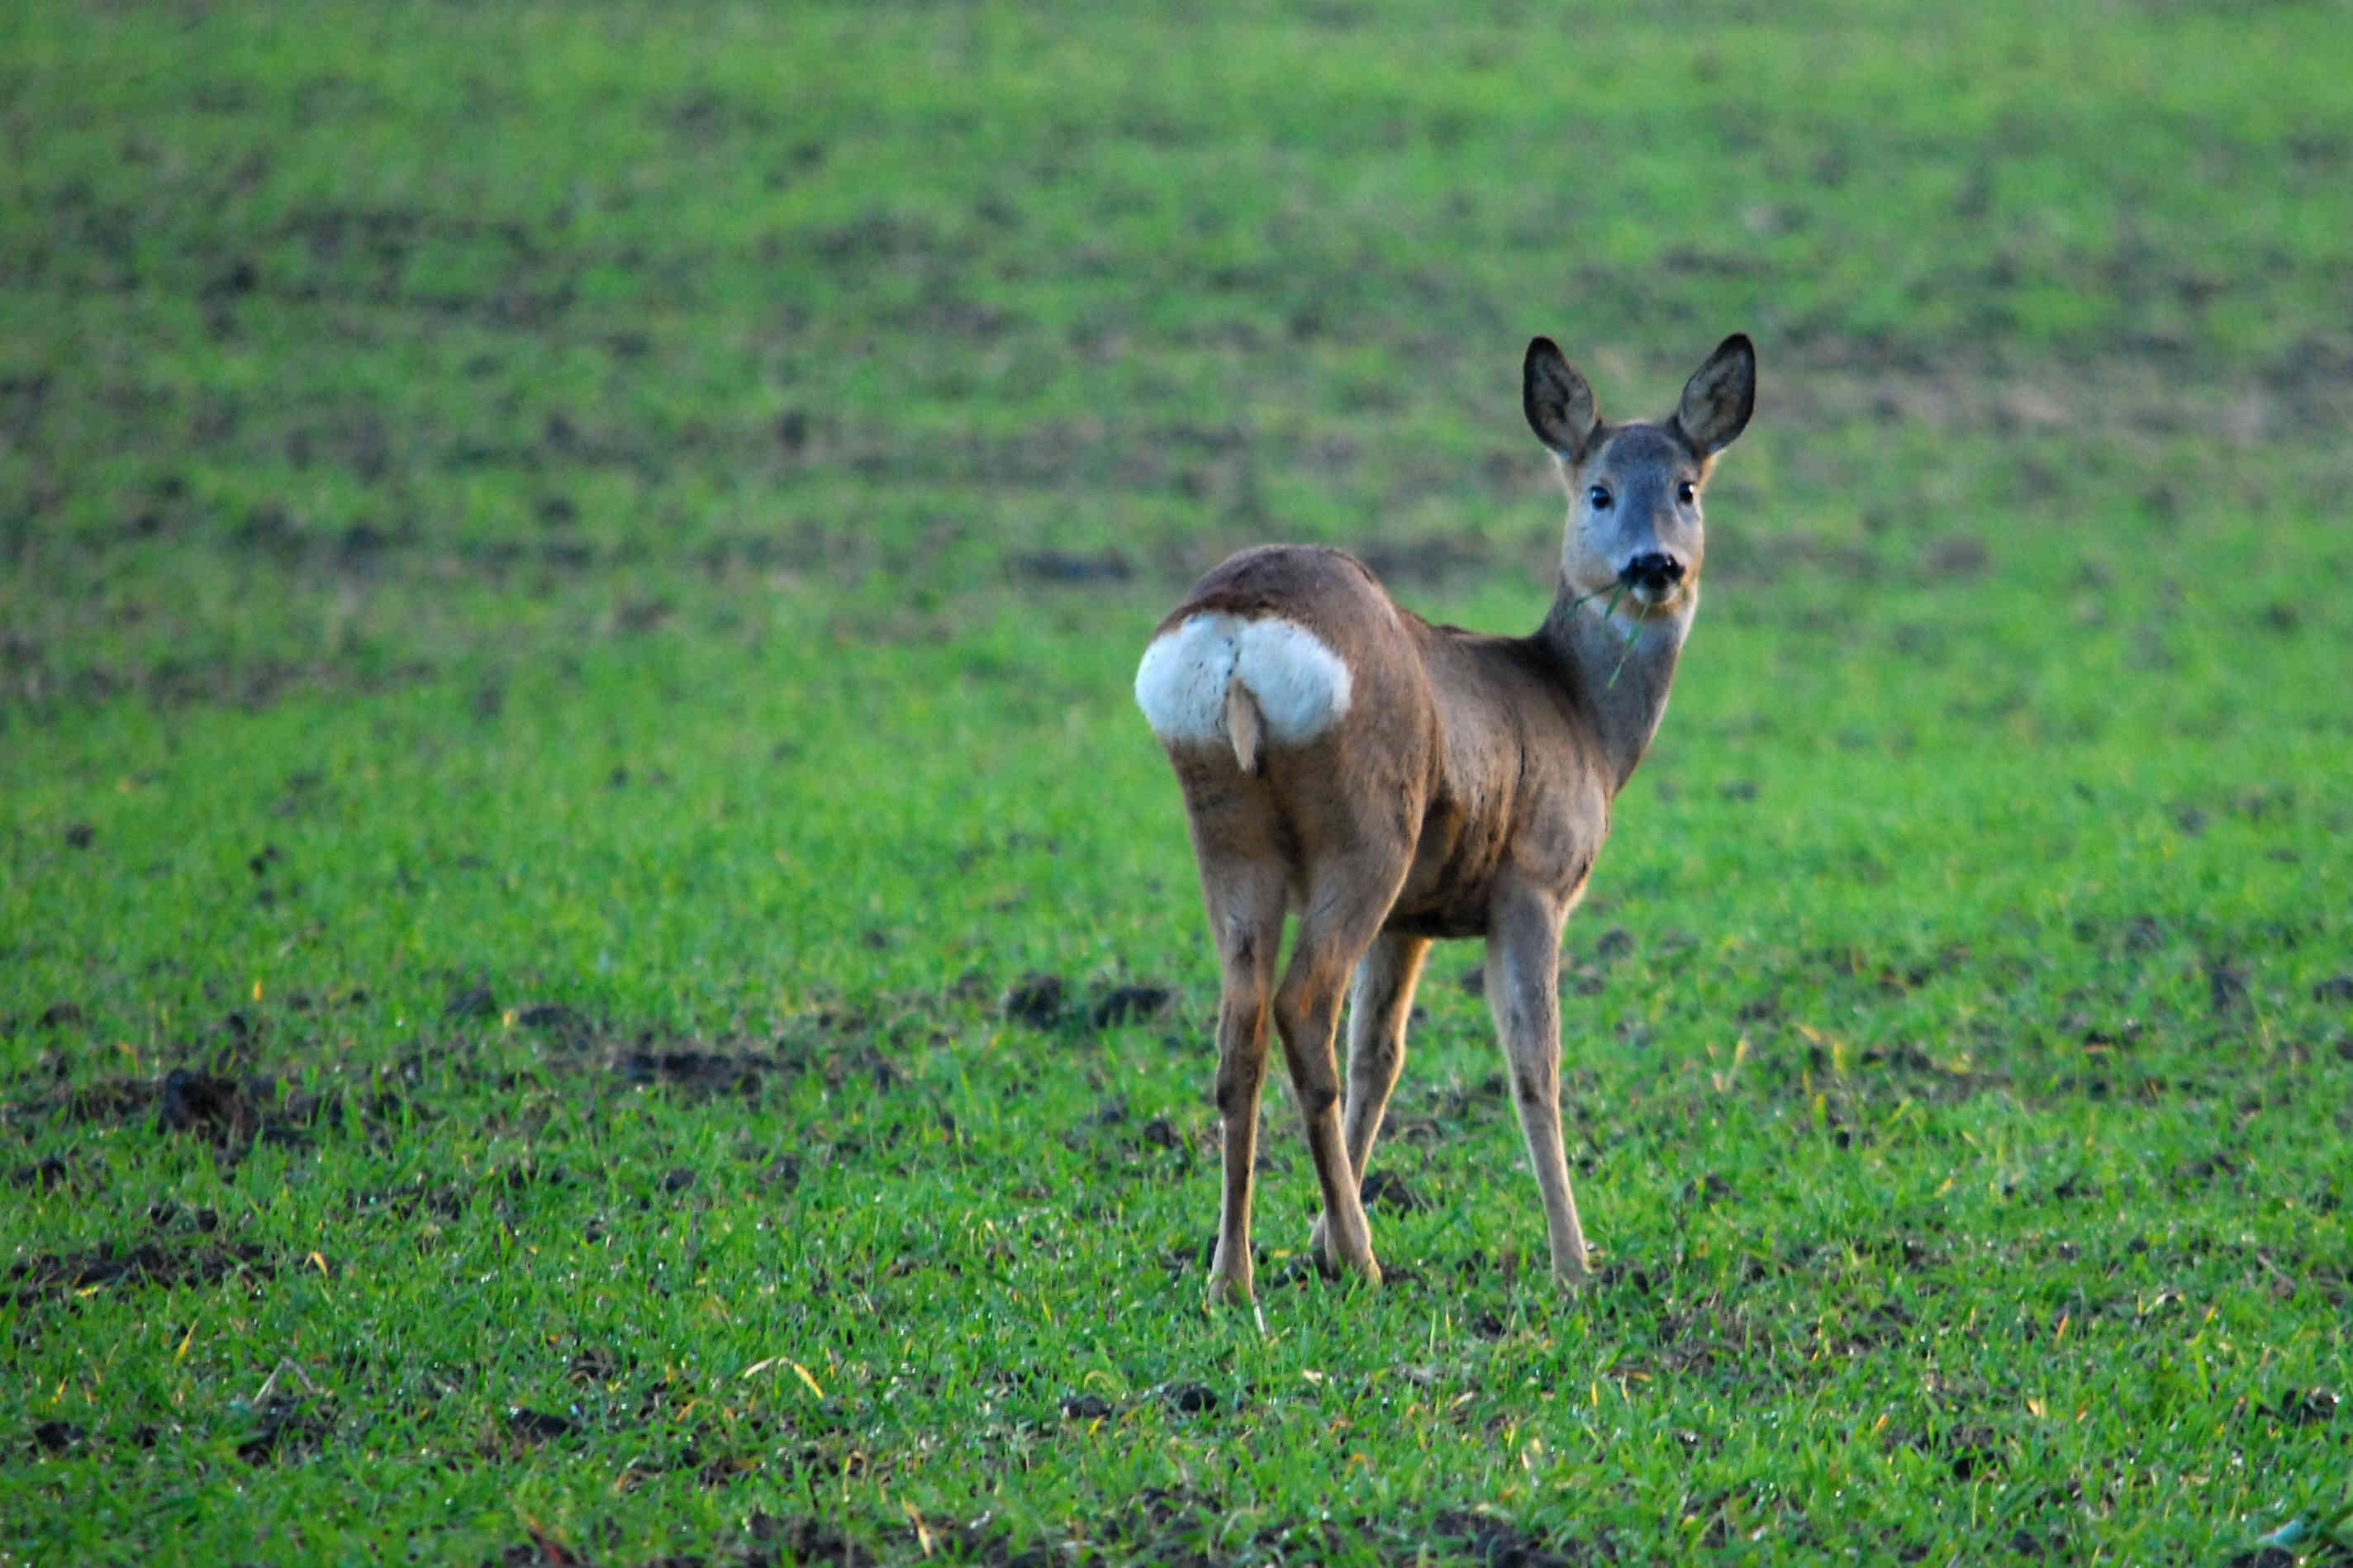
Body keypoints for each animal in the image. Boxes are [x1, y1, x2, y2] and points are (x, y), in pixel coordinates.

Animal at [1129, 329, 1760, 1290]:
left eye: (1686, 487)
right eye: (1598, 490)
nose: (1656, 565)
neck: (1580, 716)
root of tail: (1237, 634)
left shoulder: (1414, 916)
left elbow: (1381, 1055)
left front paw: (1314, 1236)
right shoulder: (1533, 883)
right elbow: (1534, 1065)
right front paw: (1574, 1264)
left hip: (1227, 828)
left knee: (1240, 1030)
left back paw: (1232, 1276)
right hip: (1367, 830)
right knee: (1302, 1006)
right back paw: (1363, 1260)